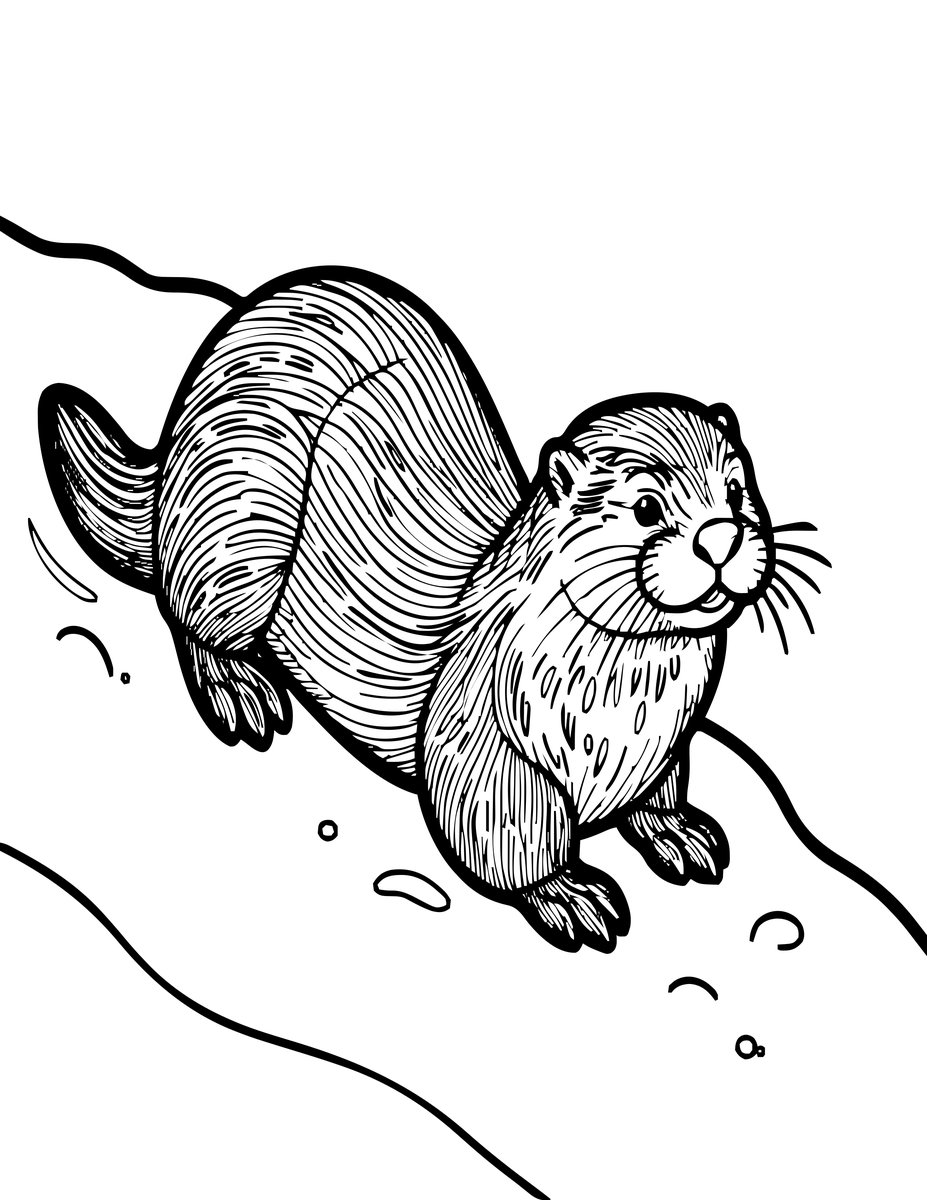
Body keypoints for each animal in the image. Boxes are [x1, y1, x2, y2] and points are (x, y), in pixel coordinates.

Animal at [39, 267, 780, 952]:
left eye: (737, 488)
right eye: (647, 507)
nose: (720, 537)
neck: (616, 720)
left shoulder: (668, 744)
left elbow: (660, 795)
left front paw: (679, 831)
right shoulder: (484, 738)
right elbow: (505, 834)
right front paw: (568, 894)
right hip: (233, 527)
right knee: (186, 611)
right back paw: (241, 695)